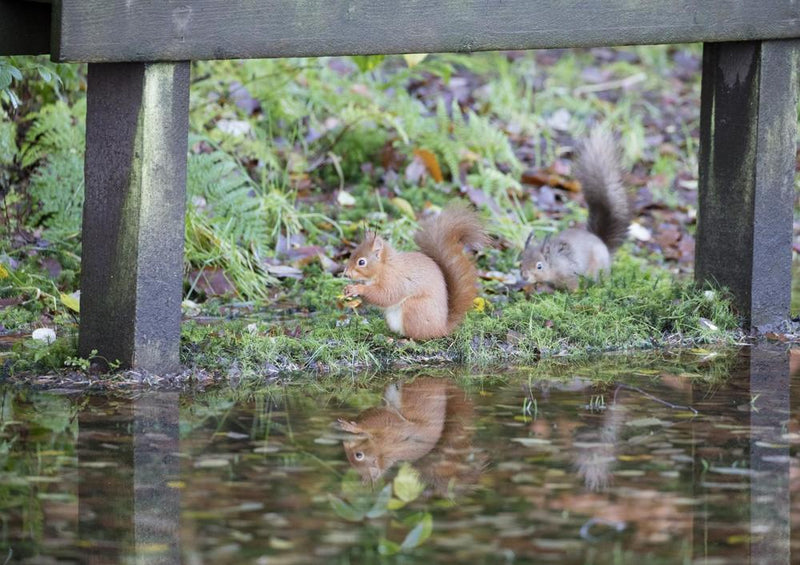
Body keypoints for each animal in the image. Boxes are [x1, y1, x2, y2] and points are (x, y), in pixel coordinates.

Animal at [342, 200, 488, 338]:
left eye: (361, 262)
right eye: (352, 253)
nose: (346, 273)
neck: (384, 267)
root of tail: (441, 328)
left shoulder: (394, 280)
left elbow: (386, 295)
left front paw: (358, 289)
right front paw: (348, 289)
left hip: (414, 309)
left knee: (418, 335)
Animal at [520, 128, 628, 290]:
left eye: (539, 266)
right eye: (521, 262)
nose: (525, 277)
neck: (554, 263)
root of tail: (603, 245)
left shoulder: (570, 273)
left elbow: (574, 286)